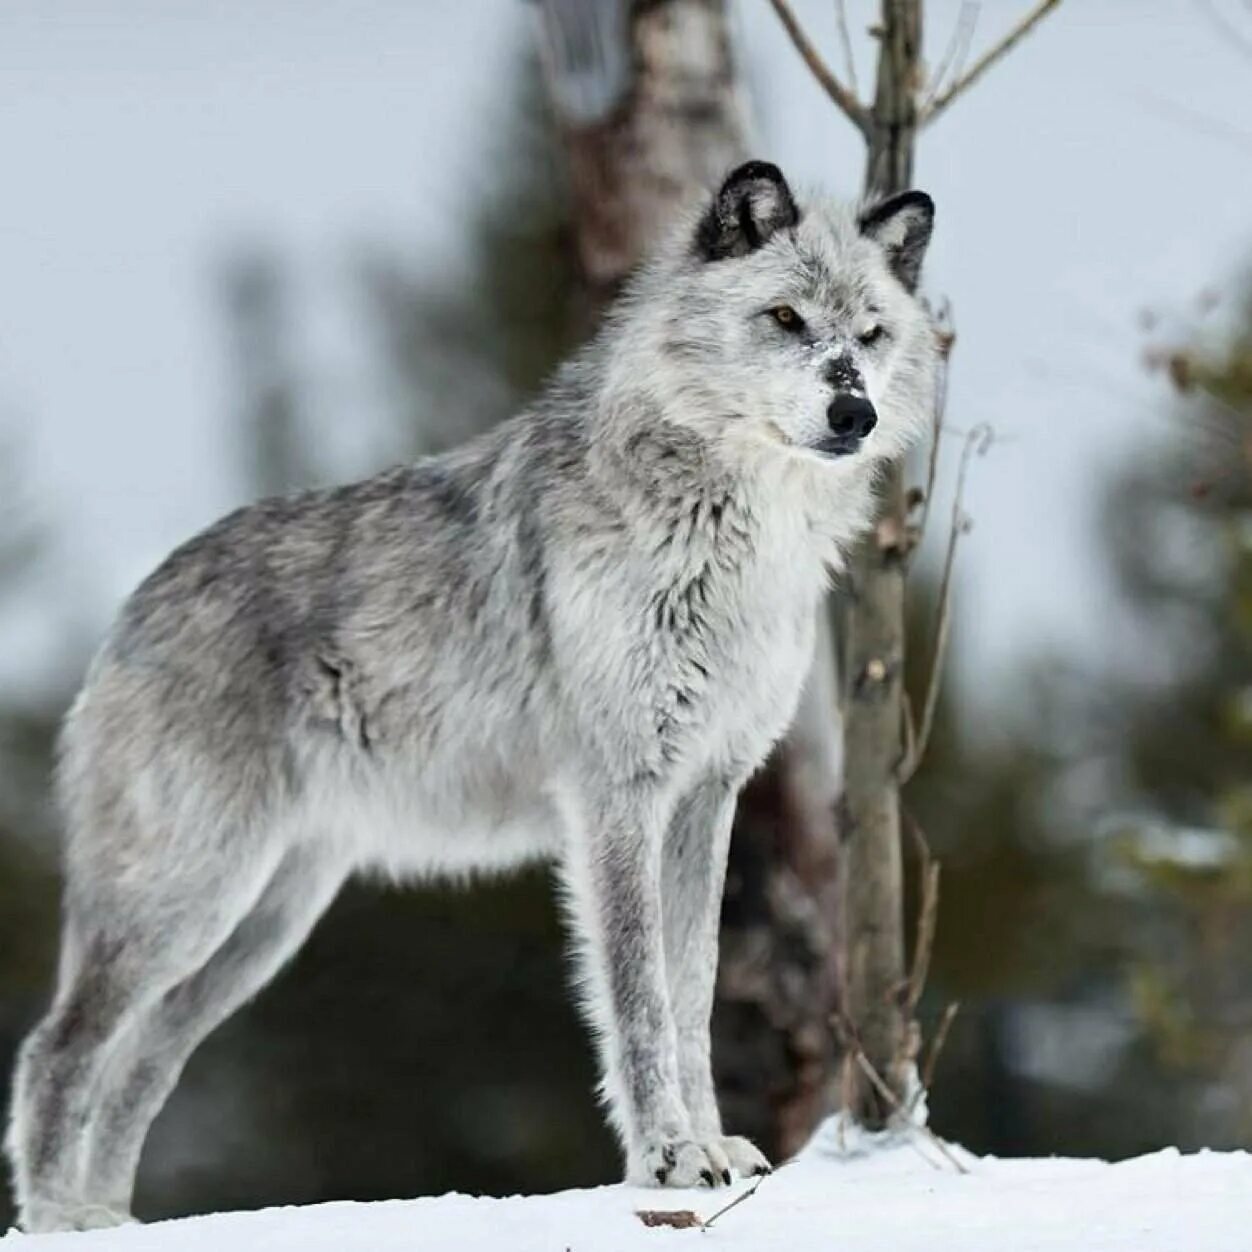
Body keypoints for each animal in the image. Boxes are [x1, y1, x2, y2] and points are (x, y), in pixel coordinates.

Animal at [4, 159, 936, 1231]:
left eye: (872, 334)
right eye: (785, 317)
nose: (855, 413)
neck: (729, 545)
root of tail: (132, 605)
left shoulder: (708, 796)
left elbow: (693, 990)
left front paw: (717, 1152)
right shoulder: (615, 799)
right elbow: (639, 999)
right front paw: (668, 1161)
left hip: (261, 928)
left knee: (141, 1063)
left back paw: (108, 1221)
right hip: (187, 903)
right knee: (58, 1050)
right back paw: (58, 1221)